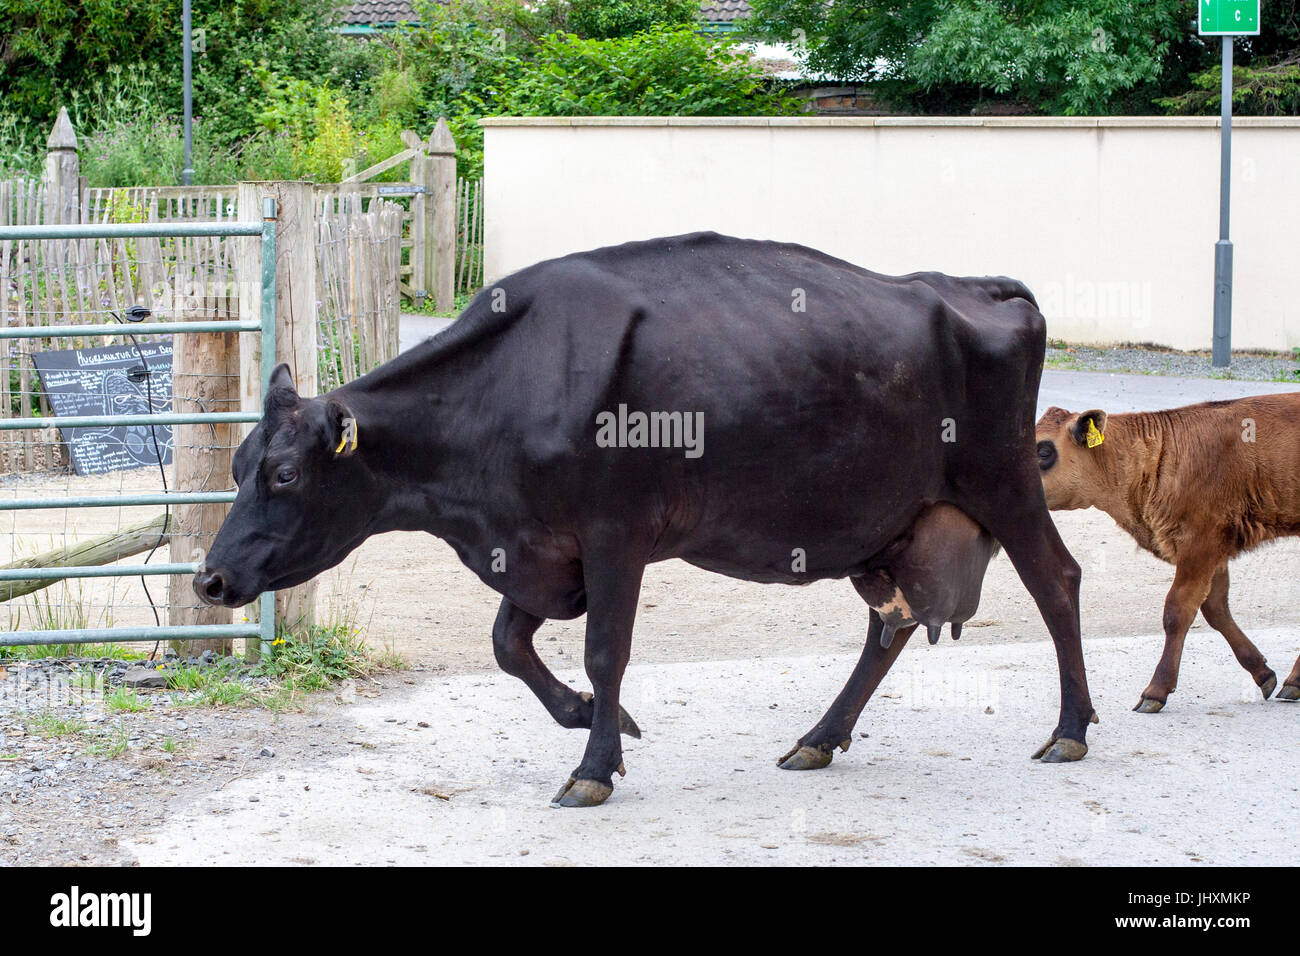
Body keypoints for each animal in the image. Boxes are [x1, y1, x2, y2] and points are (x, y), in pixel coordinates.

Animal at [197, 231, 1097, 806]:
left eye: (283, 473)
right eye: (237, 467)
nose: (209, 578)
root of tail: (971, 286)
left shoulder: (614, 534)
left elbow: (604, 651)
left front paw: (594, 764)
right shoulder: (538, 545)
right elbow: (507, 644)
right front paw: (592, 720)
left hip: (1002, 479)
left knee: (1056, 581)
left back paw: (1070, 730)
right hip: (891, 523)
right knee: (891, 625)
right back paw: (817, 737)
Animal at [1034, 392, 1300, 712]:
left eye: (1044, 450)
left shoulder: (1200, 544)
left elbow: (1177, 610)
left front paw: (1155, 690)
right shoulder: (1214, 550)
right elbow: (1215, 609)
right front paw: (1262, 672)